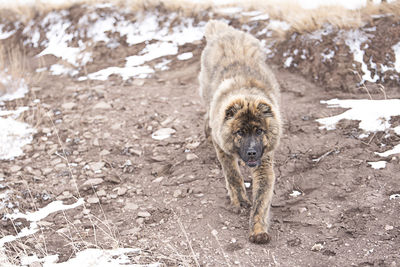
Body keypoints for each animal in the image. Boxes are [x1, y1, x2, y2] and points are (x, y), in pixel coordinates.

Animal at [199, 19, 282, 244]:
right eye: (240, 133)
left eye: (259, 131)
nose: (252, 152)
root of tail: (223, 31)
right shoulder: (222, 148)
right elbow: (233, 176)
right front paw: (240, 201)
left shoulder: (265, 162)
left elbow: (261, 201)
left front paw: (258, 231)